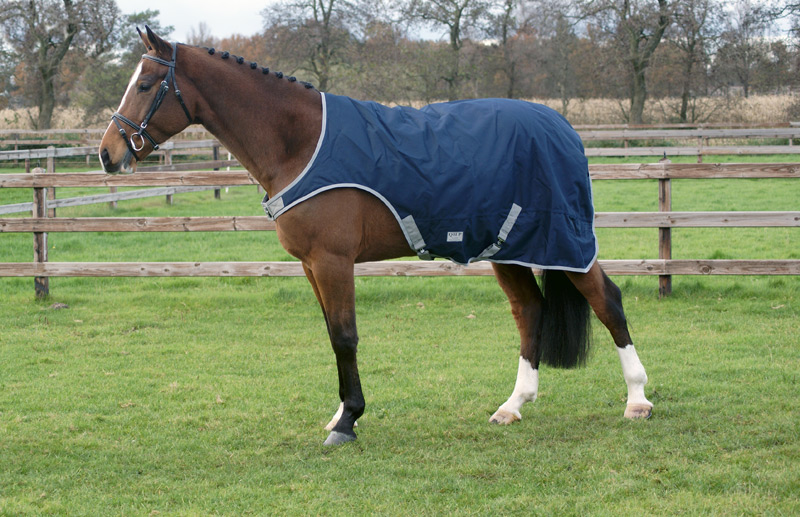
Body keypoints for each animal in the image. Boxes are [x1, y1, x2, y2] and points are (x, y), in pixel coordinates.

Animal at [100, 25, 652, 444]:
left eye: (146, 84)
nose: (108, 153)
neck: (301, 142)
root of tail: (562, 127)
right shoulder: (310, 266)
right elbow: (332, 336)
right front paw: (339, 414)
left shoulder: (332, 260)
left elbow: (345, 336)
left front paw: (347, 422)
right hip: (509, 248)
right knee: (530, 311)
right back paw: (512, 405)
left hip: (563, 242)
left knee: (608, 301)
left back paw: (638, 400)